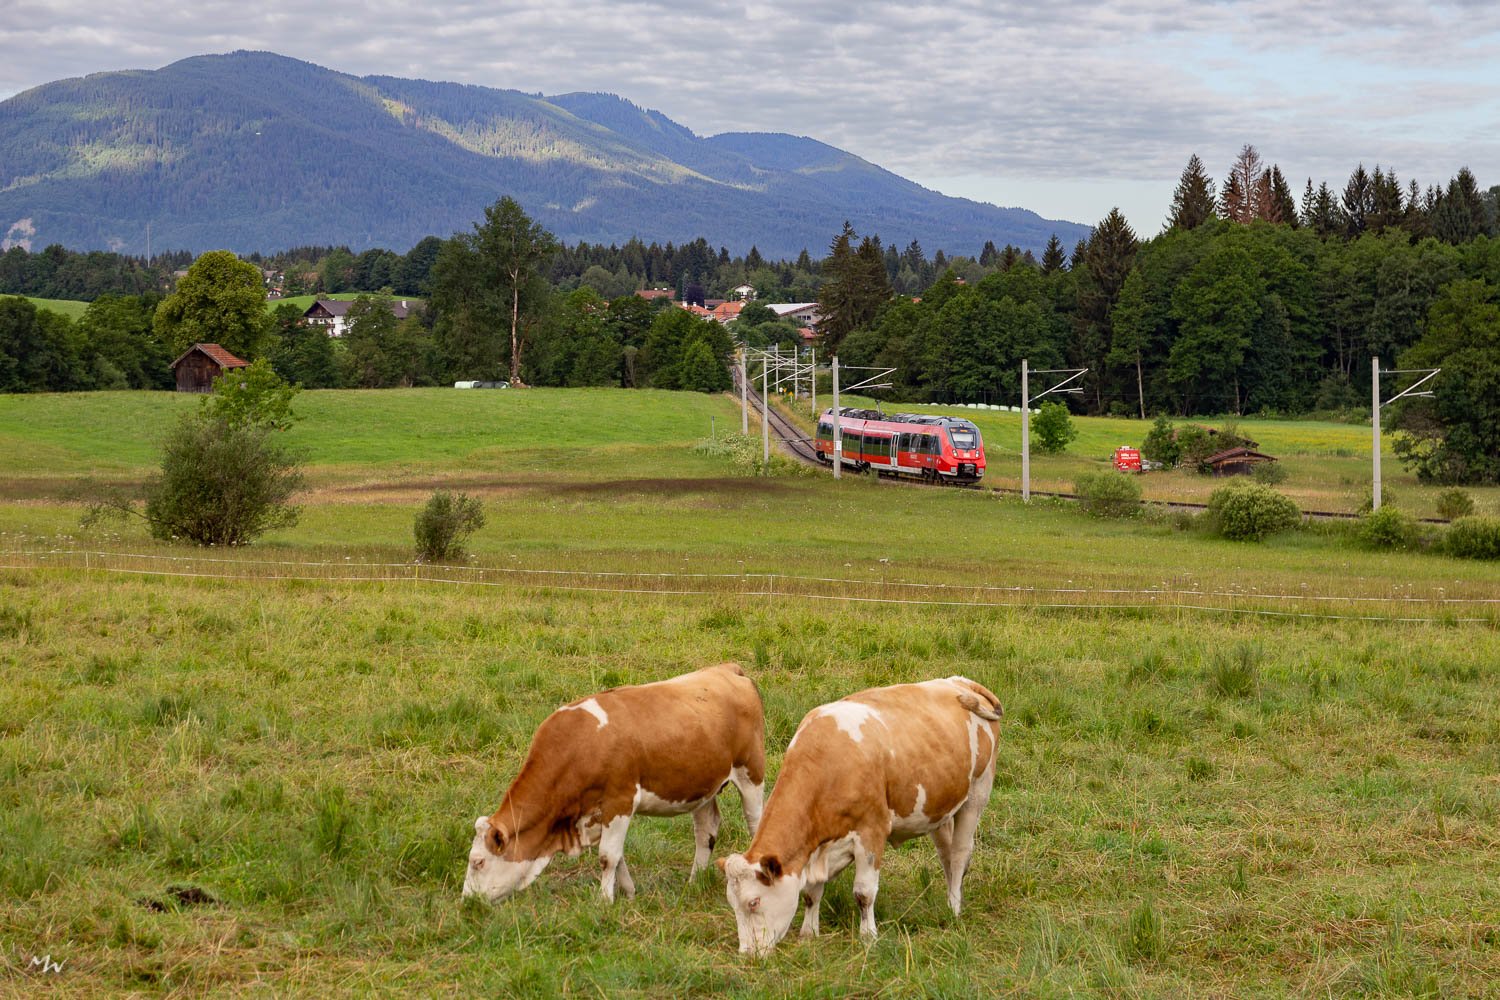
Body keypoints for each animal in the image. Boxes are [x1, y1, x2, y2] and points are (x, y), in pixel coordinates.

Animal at [462, 665, 768, 905]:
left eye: (478, 862)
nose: (467, 902)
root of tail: (727, 669)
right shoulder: (599, 813)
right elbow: (617, 856)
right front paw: (628, 892)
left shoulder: (620, 801)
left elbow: (607, 856)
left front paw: (604, 900)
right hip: (703, 786)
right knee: (706, 830)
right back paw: (694, 883)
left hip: (751, 773)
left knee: (755, 822)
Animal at [720, 677, 1002, 959]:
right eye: (732, 903)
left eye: (754, 902)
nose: (747, 954)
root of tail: (960, 682)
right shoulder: (817, 848)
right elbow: (811, 893)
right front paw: (809, 934)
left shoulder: (872, 831)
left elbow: (864, 893)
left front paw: (868, 937)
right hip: (939, 808)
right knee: (946, 855)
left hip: (977, 794)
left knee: (959, 854)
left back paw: (953, 907)